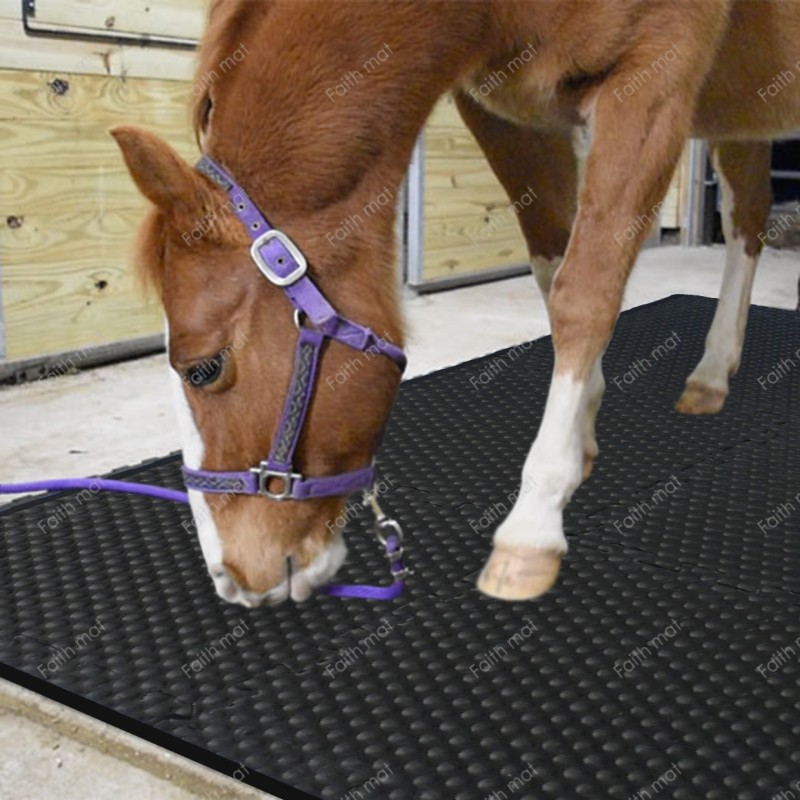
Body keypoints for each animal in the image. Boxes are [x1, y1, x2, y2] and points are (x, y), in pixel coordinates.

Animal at [112, 0, 800, 607]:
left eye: (204, 368)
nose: (230, 578)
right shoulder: (509, 118)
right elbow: (553, 273)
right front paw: (579, 442)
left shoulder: (651, 82)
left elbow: (585, 292)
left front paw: (533, 524)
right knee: (747, 213)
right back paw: (711, 376)